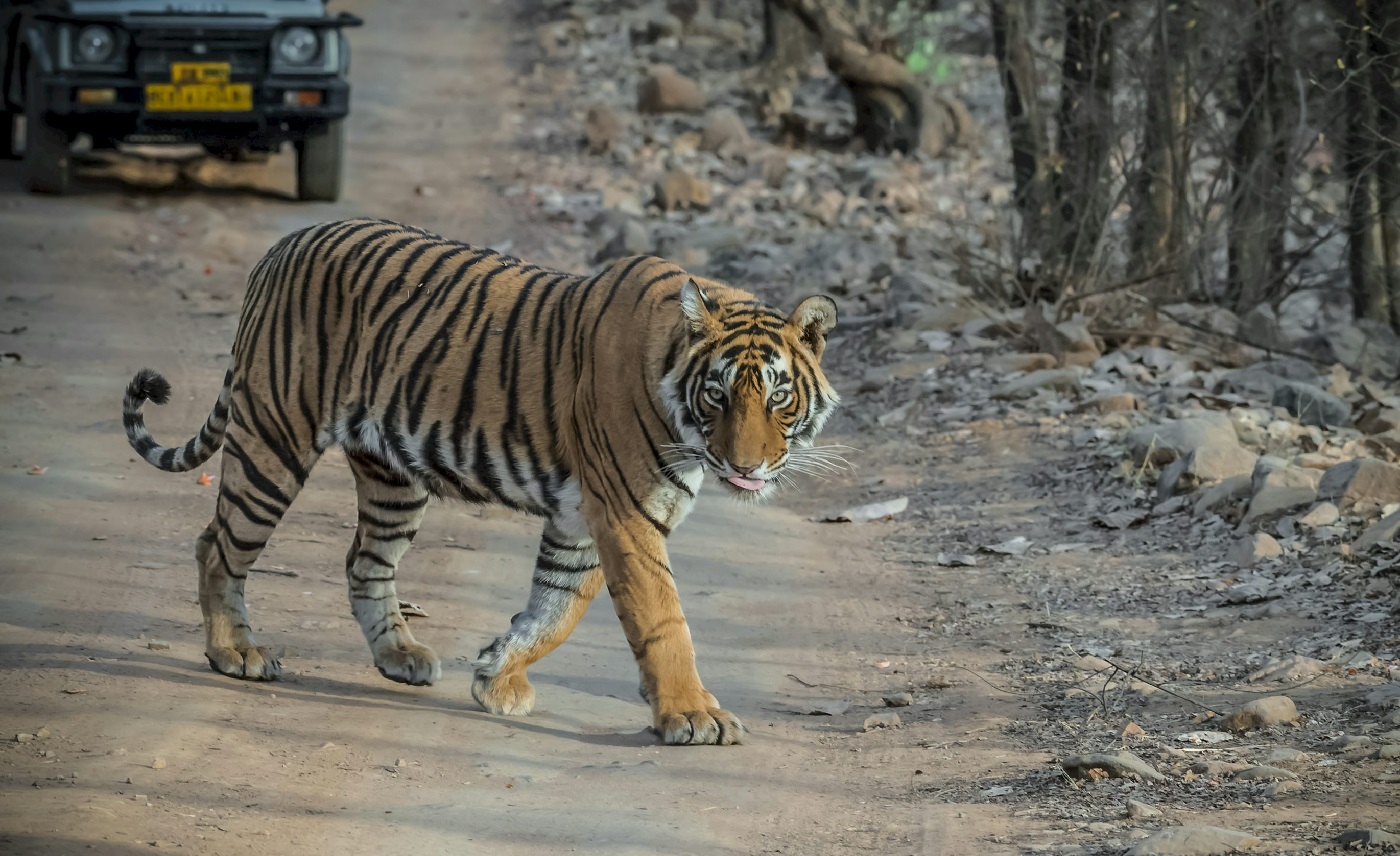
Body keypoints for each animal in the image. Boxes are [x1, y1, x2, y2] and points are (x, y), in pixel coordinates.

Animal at [120, 217, 840, 746]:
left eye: (777, 396)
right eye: (717, 394)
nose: (746, 467)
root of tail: (283, 245)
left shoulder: (583, 520)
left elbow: (556, 609)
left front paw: (497, 675)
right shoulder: (626, 515)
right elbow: (662, 618)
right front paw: (691, 715)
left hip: (393, 477)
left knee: (364, 562)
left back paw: (399, 655)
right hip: (274, 437)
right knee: (218, 546)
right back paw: (235, 653)